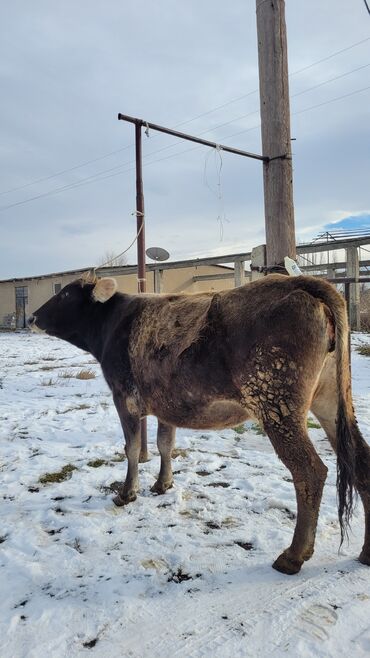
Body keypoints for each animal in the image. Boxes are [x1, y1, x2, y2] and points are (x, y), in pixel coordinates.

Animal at [29, 274, 370, 572]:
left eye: (65, 294)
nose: (32, 317)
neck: (113, 323)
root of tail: (303, 283)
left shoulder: (124, 398)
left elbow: (133, 448)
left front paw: (127, 493)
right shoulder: (165, 406)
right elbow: (164, 444)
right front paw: (163, 483)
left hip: (276, 403)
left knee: (309, 471)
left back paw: (293, 556)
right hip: (330, 399)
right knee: (360, 459)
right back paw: (366, 552)